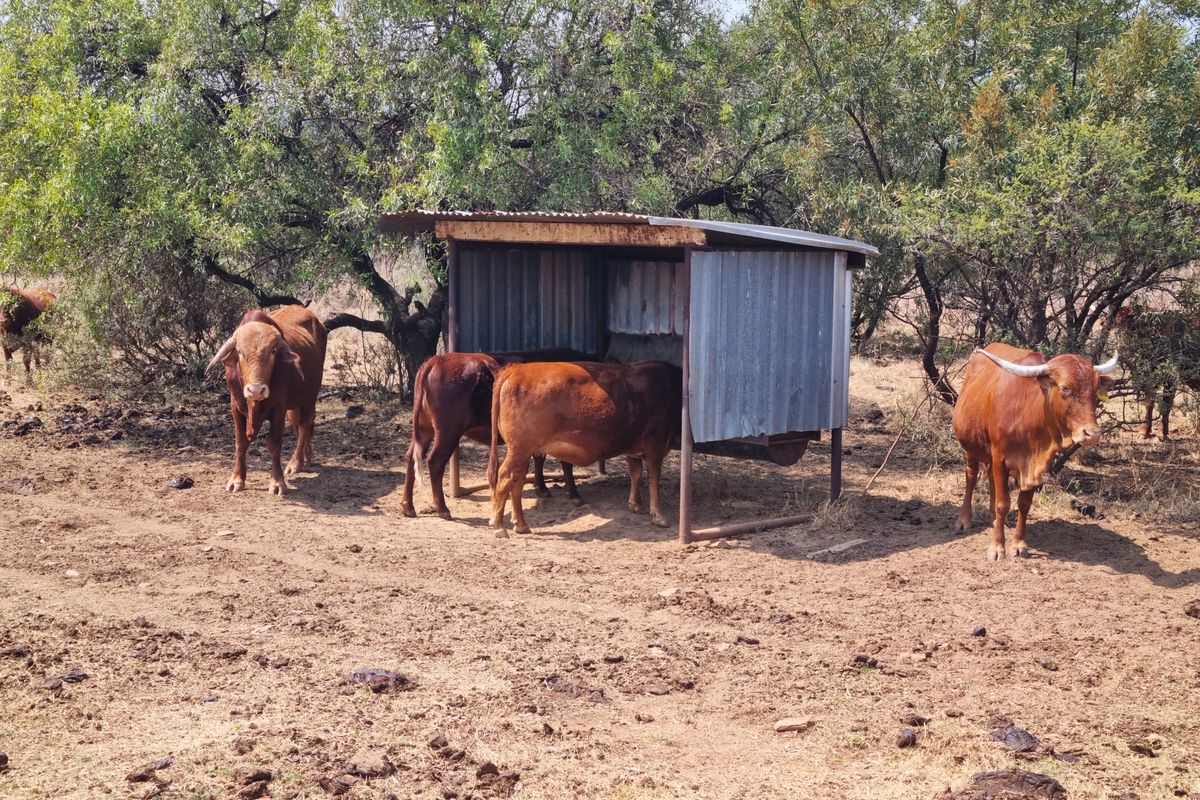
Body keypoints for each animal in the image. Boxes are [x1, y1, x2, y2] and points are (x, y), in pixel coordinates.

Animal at [207, 305, 328, 495]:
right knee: (299, 425)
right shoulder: (235, 407)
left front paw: (277, 482)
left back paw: (296, 462)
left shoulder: (278, 409)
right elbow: (241, 443)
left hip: (309, 397)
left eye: (273, 351)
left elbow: (274, 444)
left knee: (305, 425)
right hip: (294, 406)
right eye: (240, 352)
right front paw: (236, 479)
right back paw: (306, 456)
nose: (256, 390)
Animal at [401, 349, 598, 520]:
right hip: (448, 431)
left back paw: (407, 507)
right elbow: (566, 463)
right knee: (435, 461)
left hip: (424, 428)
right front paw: (574, 494)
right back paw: (442, 509)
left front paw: (541, 488)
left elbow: (539, 457)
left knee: (412, 456)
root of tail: (436, 360)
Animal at [487, 361, 682, 535]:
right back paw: (499, 527)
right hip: (519, 449)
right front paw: (659, 516)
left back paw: (521, 525)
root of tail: (515, 369)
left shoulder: (633, 447)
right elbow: (654, 479)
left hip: (523, 451)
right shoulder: (655, 443)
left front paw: (635, 504)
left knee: (517, 482)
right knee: (504, 477)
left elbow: (636, 473)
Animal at [952, 343, 1119, 560]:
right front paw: (997, 547)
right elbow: (1003, 503)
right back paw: (964, 519)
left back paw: (995, 519)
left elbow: (1024, 504)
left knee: (990, 479)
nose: (1092, 434)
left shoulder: (1033, 466)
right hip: (971, 446)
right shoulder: (1000, 458)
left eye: (1095, 389)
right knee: (971, 476)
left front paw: (1018, 544)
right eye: (1065, 388)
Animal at [1114, 305, 1200, 440]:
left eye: (1126, 321)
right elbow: (1149, 402)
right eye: (1117, 321)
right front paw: (1144, 431)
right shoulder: (1146, 377)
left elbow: (1166, 403)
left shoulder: (1170, 378)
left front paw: (1162, 432)